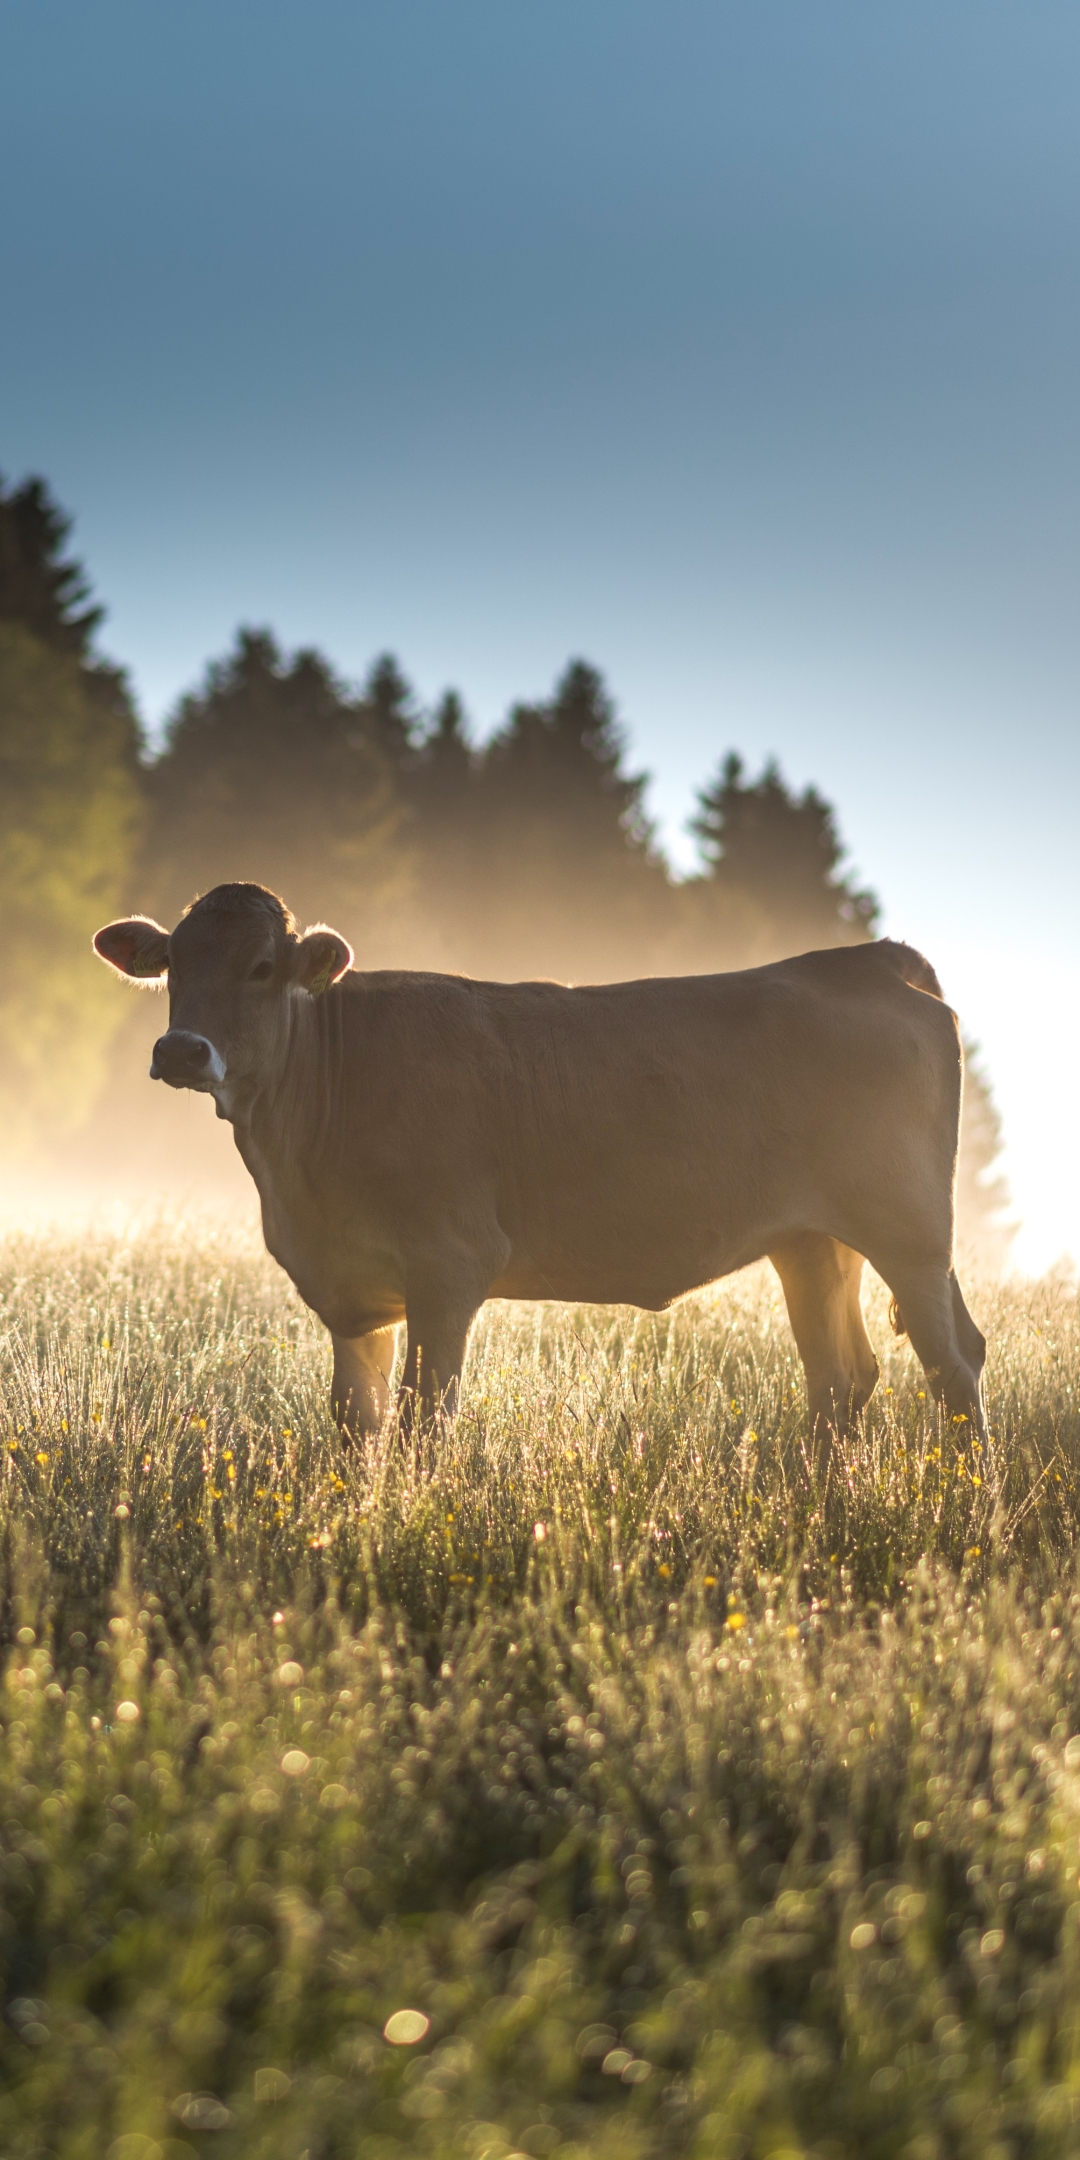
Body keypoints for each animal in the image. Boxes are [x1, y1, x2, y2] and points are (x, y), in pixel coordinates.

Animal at [92, 876, 989, 1451]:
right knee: (841, 1376)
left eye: (261, 967)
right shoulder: (354, 1294)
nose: (182, 1050)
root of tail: (865, 957)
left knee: (952, 1363)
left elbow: (422, 1423)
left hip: (908, 1231)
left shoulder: (449, 1266)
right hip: (811, 1241)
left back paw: (961, 1502)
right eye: (172, 965)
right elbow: (357, 1425)